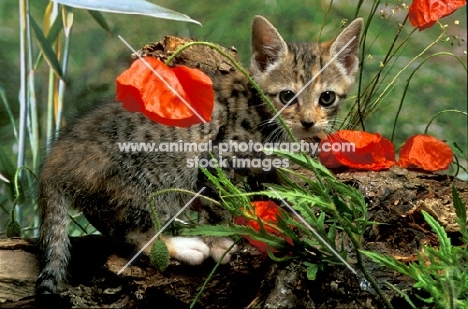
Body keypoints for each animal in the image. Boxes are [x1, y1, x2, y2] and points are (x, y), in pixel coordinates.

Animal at [36, 15, 364, 294]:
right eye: (287, 96)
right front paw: (219, 242)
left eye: (326, 98)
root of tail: (56, 160)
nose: (309, 122)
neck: (264, 116)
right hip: (153, 180)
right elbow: (217, 202)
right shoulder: (215, 158)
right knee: (130, 233)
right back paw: (183, 247)